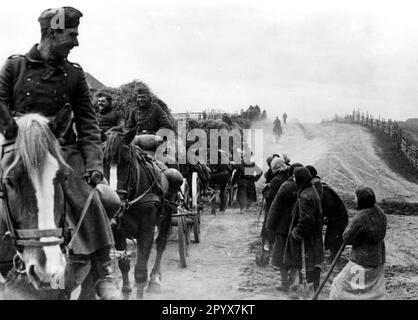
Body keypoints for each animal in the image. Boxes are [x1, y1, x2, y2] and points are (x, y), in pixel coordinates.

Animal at [102, 125, 182, 300]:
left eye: (126, 162)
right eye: (103, 162)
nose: (114, 204)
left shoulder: (146, 231)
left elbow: (140, 271)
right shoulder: (117, 230)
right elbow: (124, 264)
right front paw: (126, 290)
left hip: (167, 216)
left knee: (160, 244)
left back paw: (155, 280)